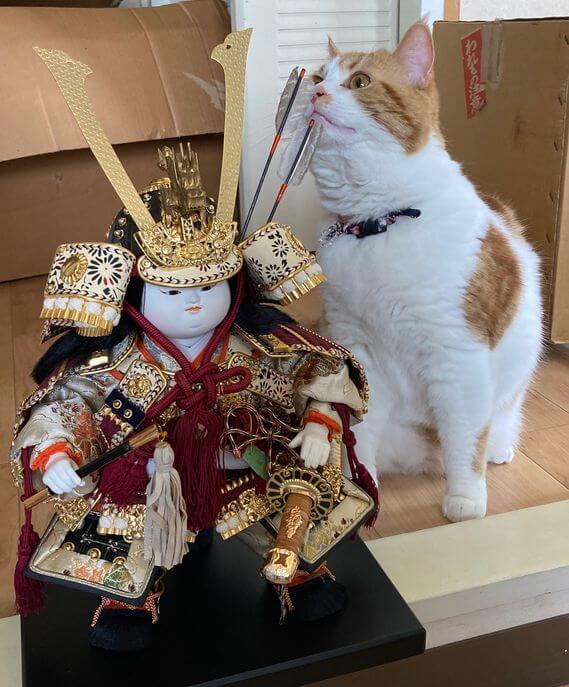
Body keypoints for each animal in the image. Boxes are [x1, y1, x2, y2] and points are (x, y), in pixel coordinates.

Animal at [307, 22, 543, 522]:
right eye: (317, 76)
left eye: (359, 82)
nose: (314, 92)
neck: (377, 223)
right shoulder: (358, 346)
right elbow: (361, 432)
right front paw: (363, 487)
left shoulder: (457, 357)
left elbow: (466, 439)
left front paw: (466, 499)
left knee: (495, 423)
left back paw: (499, 447)